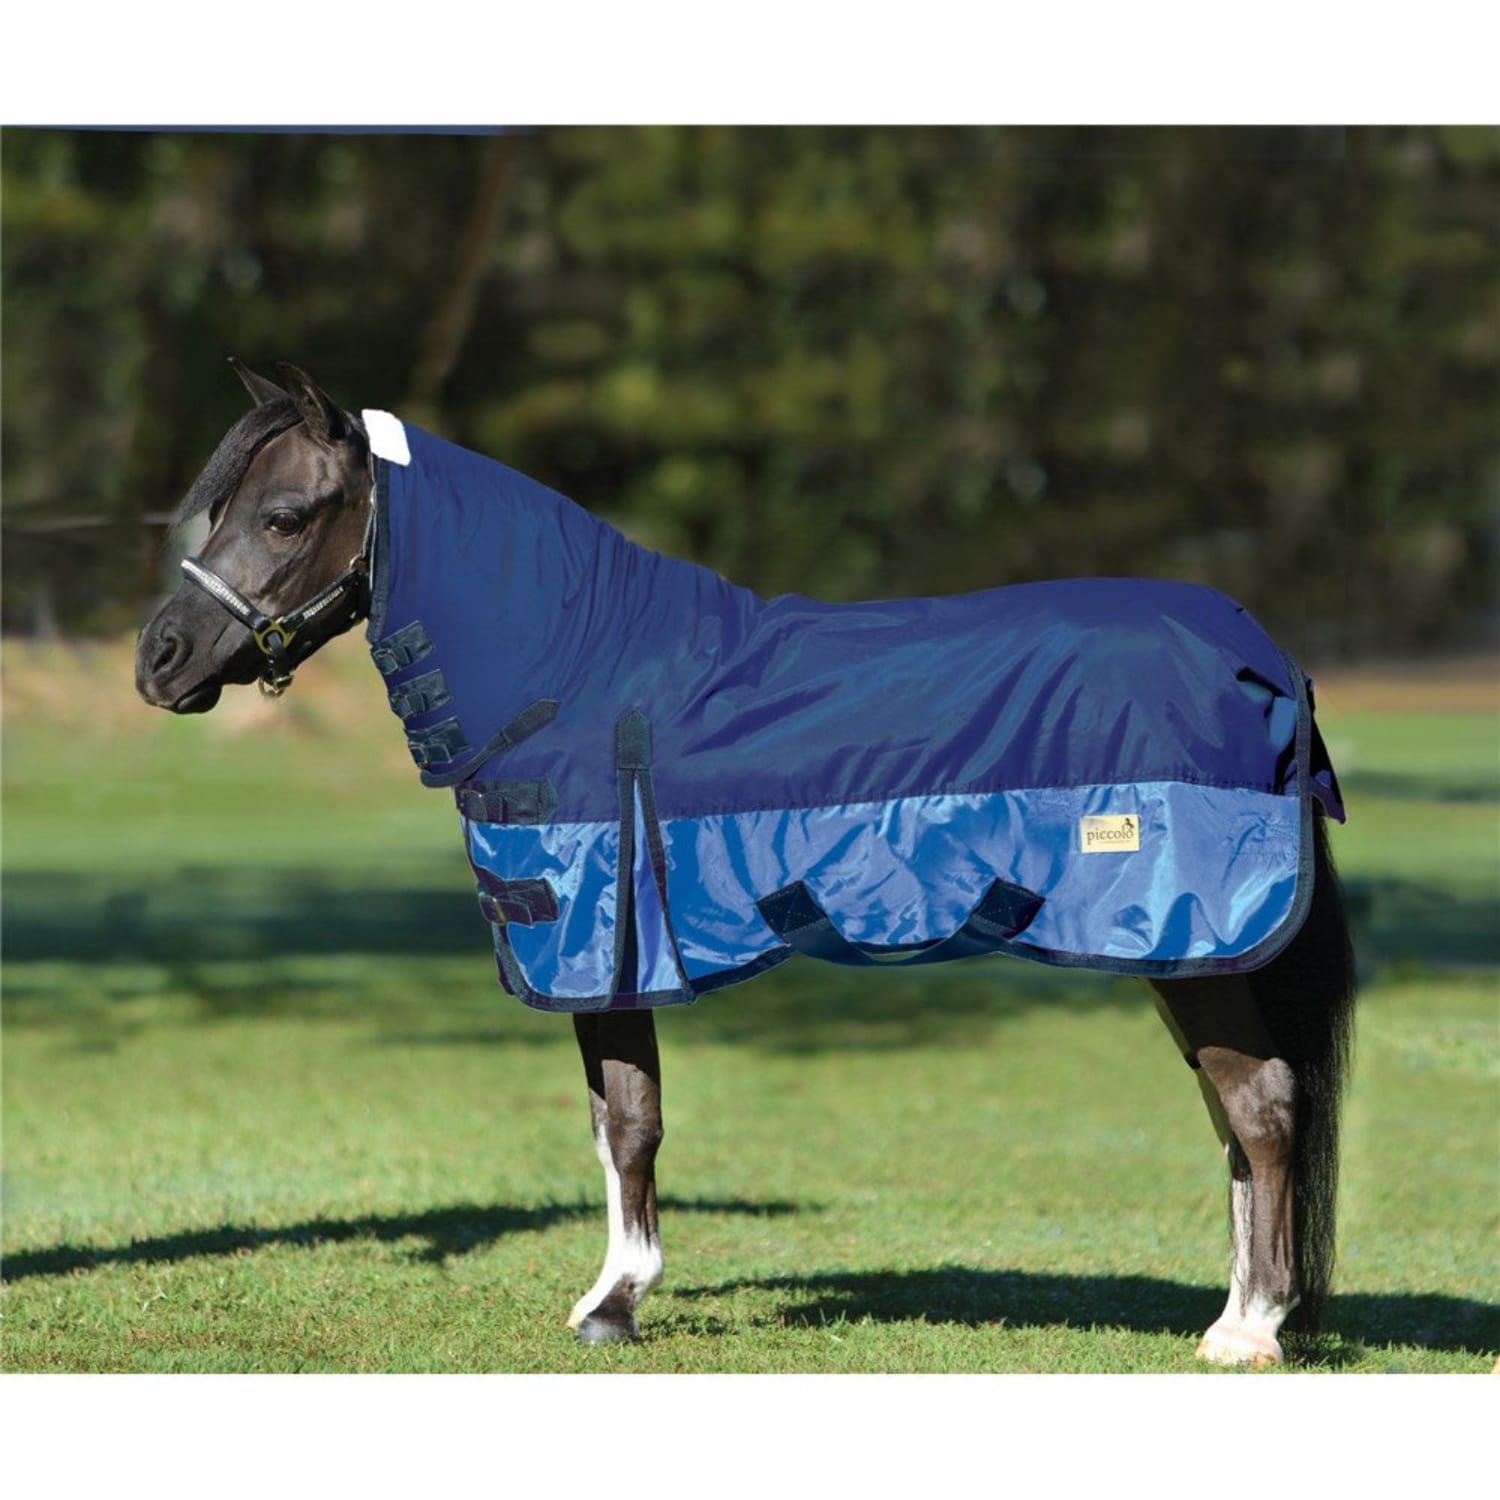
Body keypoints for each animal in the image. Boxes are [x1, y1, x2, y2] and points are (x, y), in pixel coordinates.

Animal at [135, 360, 1356, 1365]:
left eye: (285, 515)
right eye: (222, 506)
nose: (159, 660)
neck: (579, 672)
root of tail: (1258, 653)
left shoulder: (605, 944)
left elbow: (631, 1123)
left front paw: (615, 1305)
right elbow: (612, 1123)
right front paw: (615, 1295)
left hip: (1195, 944)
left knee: (1262, 1108)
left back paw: (1248, 1332)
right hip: (1185, 958)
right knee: (1237, 1121)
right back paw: (1242, 1311)